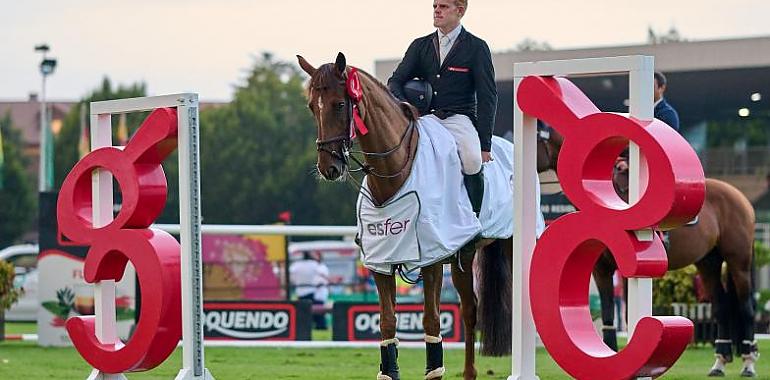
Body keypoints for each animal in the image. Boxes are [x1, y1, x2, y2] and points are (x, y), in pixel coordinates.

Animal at [298, 52, 510, 380]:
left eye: (340, 104)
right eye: (311, 106)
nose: (328, 167)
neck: (391, 173)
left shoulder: (433, 259)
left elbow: (432, 321)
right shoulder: (380, 262)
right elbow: (387, 323)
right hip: (463, 258)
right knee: (470, 309)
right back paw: (470, 372)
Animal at [536, 124, 760, 378]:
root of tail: (741, 198)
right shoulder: (601, 269)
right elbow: (608, 313)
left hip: (738, 262)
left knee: (746, 308)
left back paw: (748, 362)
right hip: (708, 263)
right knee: (722, 306)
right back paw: (719, 363)